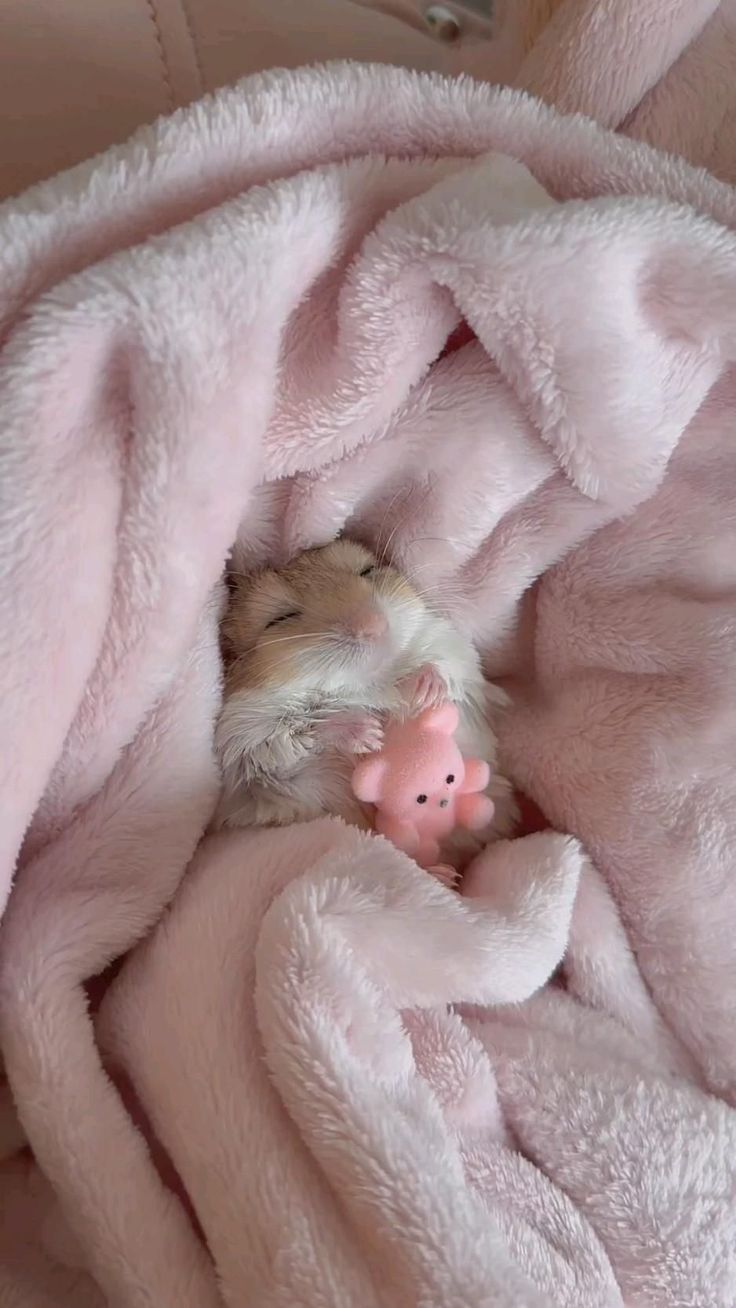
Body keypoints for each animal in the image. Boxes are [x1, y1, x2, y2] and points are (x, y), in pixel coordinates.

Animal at [213, 533, 515, 858]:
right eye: (280, 619)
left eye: (368, 571)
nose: (373, 626)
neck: (370, 683)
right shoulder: (247, 747)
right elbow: (294, 738)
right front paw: (370, 733)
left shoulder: (457, 655)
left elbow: (448, 669)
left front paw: (425, 690)